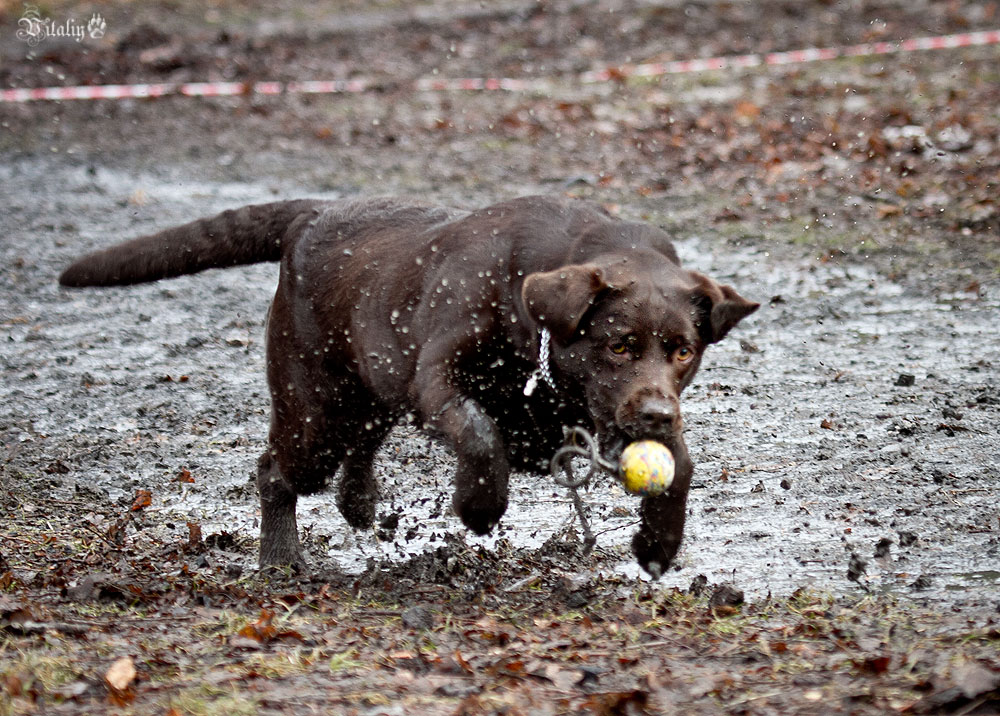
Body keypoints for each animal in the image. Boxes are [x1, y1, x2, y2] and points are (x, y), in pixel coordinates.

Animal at [62, 196, 756, 576]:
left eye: (684, 351)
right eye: (618, 346)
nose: (658, 414)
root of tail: (310, 218)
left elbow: (681, 466)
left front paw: (659, 542)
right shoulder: (438, 380)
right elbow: (479, 434)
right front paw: (479, 506)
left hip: (367, 389)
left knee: (362, 443)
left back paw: (360, 501)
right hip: (314, 411)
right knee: (276, 470)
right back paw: (281, 558)